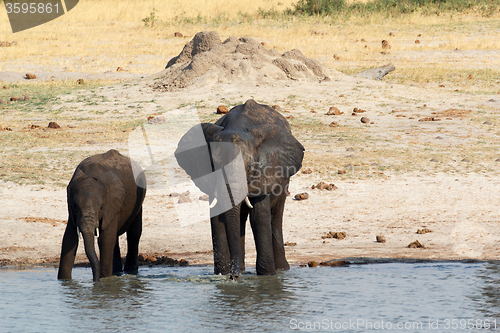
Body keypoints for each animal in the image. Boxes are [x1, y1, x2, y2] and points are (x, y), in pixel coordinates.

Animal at [57, 149, 146, 282]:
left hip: (138, 200)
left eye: (101, 208)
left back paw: (130, 271)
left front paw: (105, 280)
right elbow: (69, 238)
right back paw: (117, 271)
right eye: (75, 206)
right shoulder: (71, 211)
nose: (95, 280)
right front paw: (64, 281)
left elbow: (105, 240)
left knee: (133, 234)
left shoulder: (113, 204)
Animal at [174, 99, 302, 280]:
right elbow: (217, 219)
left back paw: (281, 270)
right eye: (214, 167)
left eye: (250, 168)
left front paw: (267, 277)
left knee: (276, 216)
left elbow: (259, 218)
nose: (233, 278)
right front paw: (222, 274)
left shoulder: (265, 173)